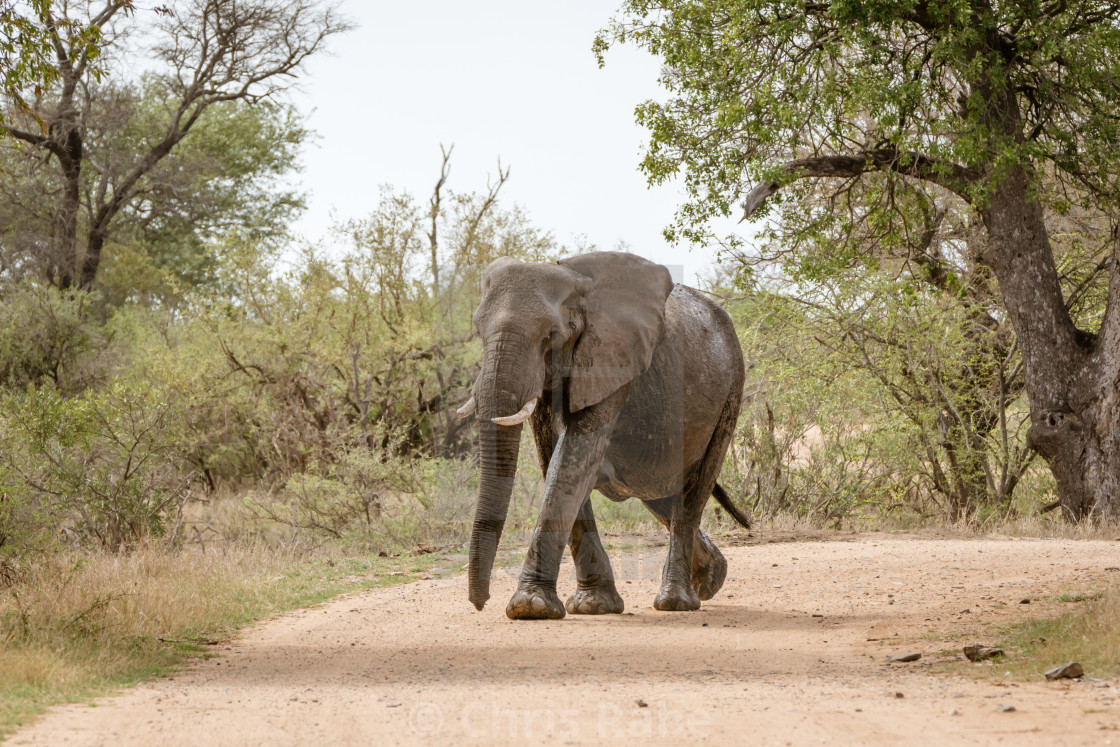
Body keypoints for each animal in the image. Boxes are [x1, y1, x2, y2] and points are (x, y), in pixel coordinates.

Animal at [459, 250, 748, 618]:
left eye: (552, 334)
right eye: (477, 328)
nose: (480, 603)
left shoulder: (611, 360)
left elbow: (571, 461)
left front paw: (530, 607)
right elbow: (556, 460)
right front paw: (593, 606)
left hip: (731, 391)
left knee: (694, 491)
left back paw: (677, 601)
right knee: (660, 494)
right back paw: (710, 580)